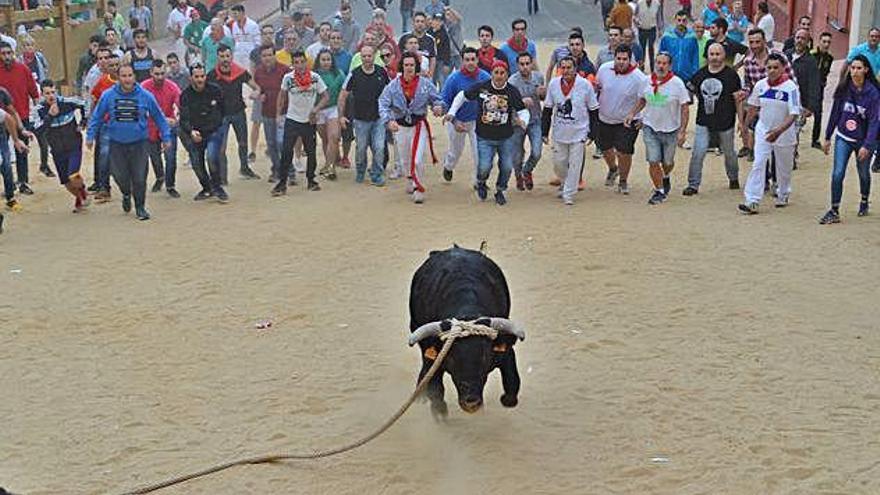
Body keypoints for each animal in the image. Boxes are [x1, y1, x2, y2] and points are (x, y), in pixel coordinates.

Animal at [408, 247, 524, 414]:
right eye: (451, 357)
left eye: (484, 356)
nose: (471, 402)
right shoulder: (435, 360)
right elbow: (436, 393)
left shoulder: (505, 351)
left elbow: (512, 382)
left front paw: (506, 399)